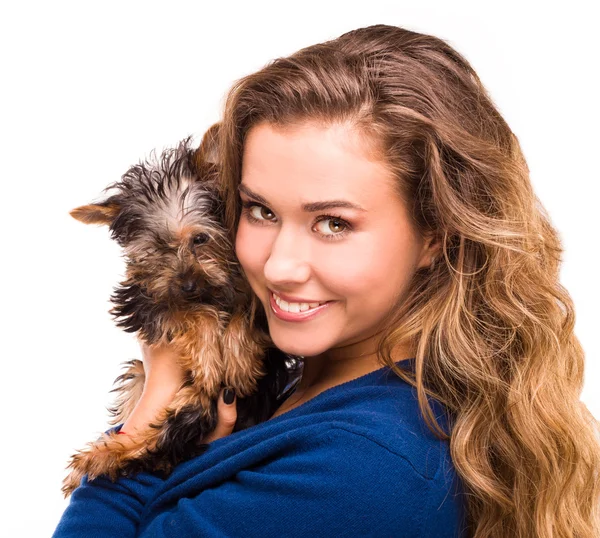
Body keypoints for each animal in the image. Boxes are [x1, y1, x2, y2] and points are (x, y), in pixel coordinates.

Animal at [61, 124, 302, 494]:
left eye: (200, 239)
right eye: (156, 250)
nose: (187, 286)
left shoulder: (264, 296)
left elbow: (247, 314)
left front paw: (238, 360)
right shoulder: (145, 299)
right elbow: (185, 312)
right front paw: (208, 357)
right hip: (143, 376)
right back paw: (99, 456)